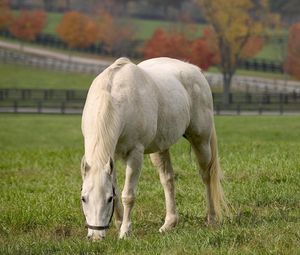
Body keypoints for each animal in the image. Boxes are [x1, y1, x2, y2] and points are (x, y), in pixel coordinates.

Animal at [81, 56, 226, 240]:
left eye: (107, 199)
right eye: (83, 198)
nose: (95, 236)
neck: (115, 98)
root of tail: (195, 70)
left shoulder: (135, 154)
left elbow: (128, 195)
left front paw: (125, 231)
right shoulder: (110, 156)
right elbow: (118, 190)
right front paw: (119, 224)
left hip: (201, 141)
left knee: (207, 176)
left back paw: (212, 218)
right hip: (161, 148)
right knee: (168, 180)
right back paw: (169, 224)